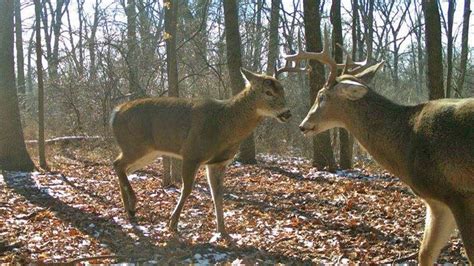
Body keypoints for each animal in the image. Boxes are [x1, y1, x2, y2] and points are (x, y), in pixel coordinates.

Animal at [110, 68, 292, 237]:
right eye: (268, 92)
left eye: (283, 89)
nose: (287, 113)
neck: (225, 126)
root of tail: (115, 113)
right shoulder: (191, 153)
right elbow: (187, 189)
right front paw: (172, 223)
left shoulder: (218, 163)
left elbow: (217, 195)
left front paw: (222, 231)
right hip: (135, 146)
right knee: (117, 164)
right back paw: (132, 205)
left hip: (147, 152)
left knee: (121, 167)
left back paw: (128, 209)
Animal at [288, 33, 474, 264]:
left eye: (322, 95)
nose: (303, 125)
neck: (407, 141)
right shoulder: (437, 202)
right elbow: (425, 253)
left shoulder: (461, 193)